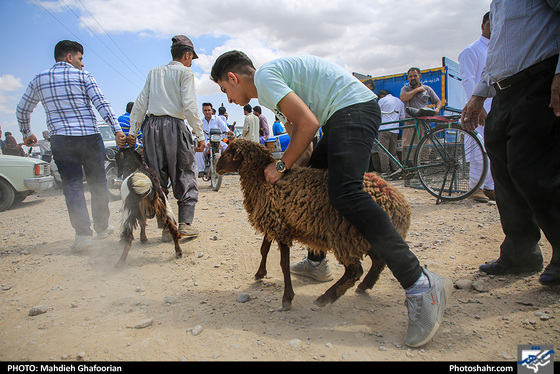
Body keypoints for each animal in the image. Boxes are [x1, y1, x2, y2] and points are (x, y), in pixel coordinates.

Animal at [215, 140, 412, 310]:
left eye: (228, 154)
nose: (216, 168)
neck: (260, 179)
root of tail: (400, 205)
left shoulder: (279, 227)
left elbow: (283, 263)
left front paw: (287, 299)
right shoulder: (274, 221)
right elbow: (264, 249)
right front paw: (260, 273)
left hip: (346, 236)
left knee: (354, 271)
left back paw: (326, 298)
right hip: (362, 237)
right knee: (378, 261)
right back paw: (364, 286)